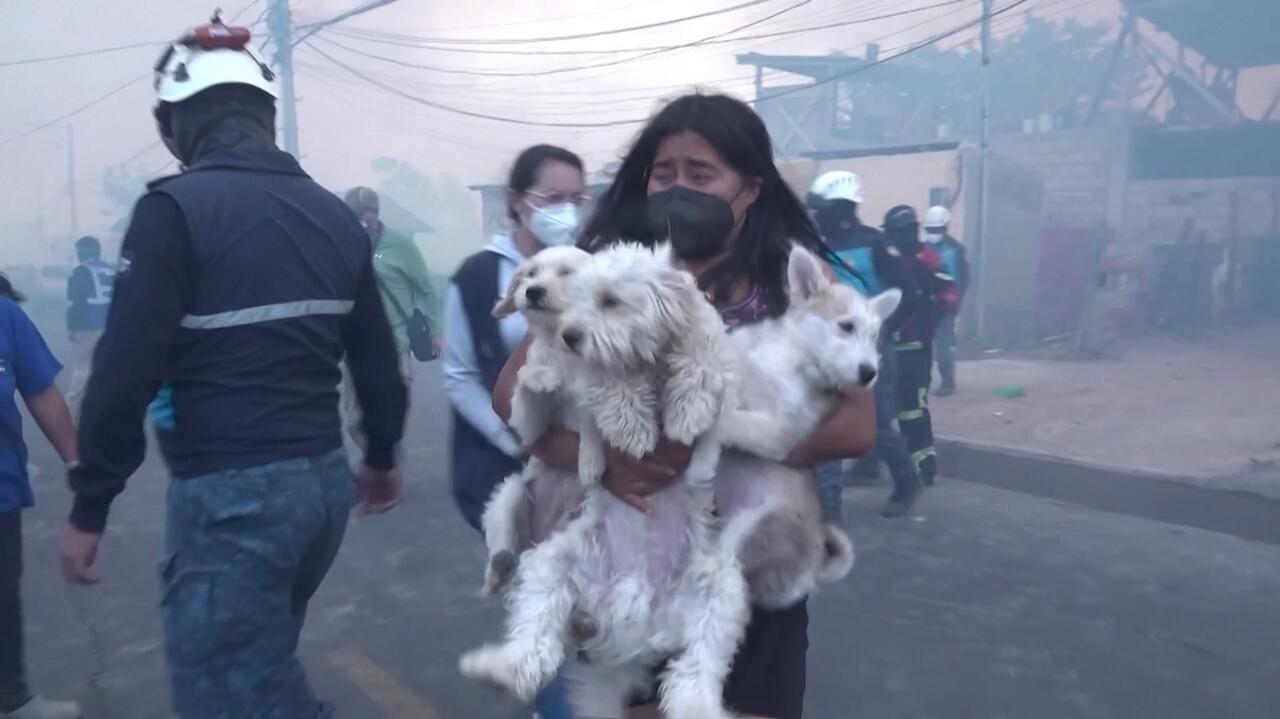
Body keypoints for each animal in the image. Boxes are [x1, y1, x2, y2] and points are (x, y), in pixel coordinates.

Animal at [460, 241, 747, 716]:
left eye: (610, 301)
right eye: (576, 300)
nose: (570, 336)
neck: (648, 359)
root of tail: (635, 616)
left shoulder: (709, 348)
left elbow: (702, 363)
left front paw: (688, 409)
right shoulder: (593, 374)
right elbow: (612, 388)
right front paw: (633, 427)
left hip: (720, 593)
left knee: (699, 666)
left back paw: (697, 706)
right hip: (551, 565)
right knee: (533, 640)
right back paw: (499, 666)